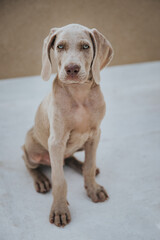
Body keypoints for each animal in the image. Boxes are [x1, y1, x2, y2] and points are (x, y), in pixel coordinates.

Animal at [21, 23, 114, 228]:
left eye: (85, 47)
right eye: (60, 47)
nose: (72, 69)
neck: (79, 94)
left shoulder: (95, 135)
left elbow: (90, 165)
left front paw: (93, 188)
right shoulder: (56, 141)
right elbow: (59, 180)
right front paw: (60, 209)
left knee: (70, 159)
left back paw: (81, 166)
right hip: (31, 147)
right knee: (28, 161)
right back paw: (41, 180)